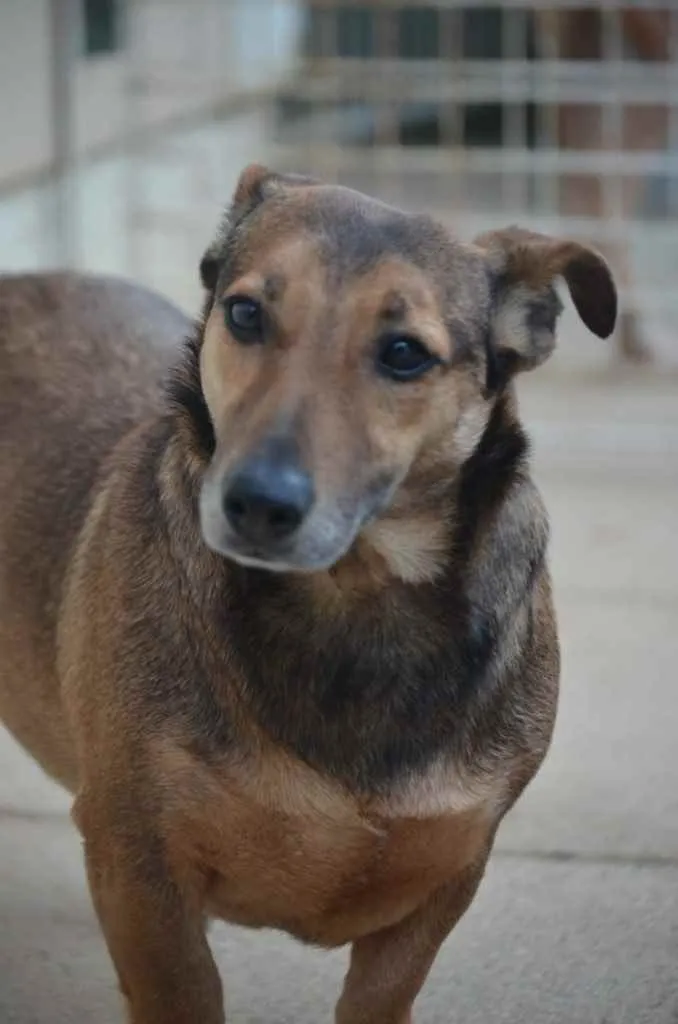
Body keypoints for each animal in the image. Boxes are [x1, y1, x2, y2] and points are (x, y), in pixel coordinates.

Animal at [0, 163, 614, 1019]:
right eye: (245, 313)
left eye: (404, 353)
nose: (256, 504)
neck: (350, 602)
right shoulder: (140, 867)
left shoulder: (442, 882)